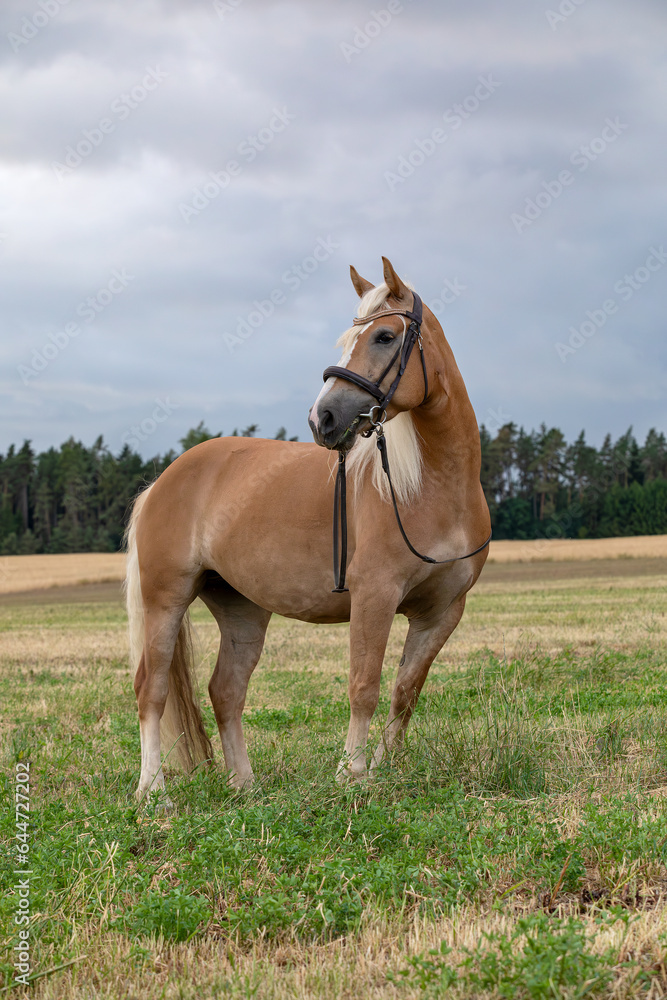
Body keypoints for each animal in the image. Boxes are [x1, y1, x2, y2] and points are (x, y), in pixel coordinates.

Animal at [125, 257, 490, 806]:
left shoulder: (443, 612)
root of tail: (162, 481)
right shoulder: (374, 596)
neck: (433, 489)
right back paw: (153, 791)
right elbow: (364, 686)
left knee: (225, 691)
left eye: (384, 336)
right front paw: (351, 774)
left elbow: (405, 692)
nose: (324, 418)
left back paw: (244, 785)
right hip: (165, 599)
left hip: (241, 609)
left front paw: (383, 769)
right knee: (153, 688)